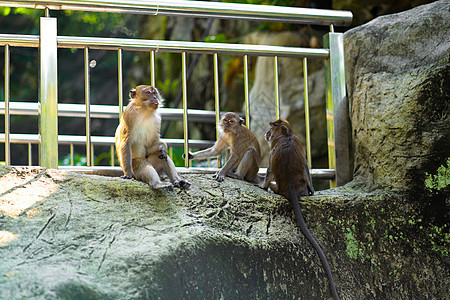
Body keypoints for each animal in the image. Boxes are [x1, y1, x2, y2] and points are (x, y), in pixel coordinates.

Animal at [258, 119, 340, 300]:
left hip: (277, 187)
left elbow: (269, 169)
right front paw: (313, 191)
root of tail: (290, 187)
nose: (267, 132)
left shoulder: (274, 147)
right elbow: (305, 166)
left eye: (272, 127)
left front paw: (262, 185)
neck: (286, 136)